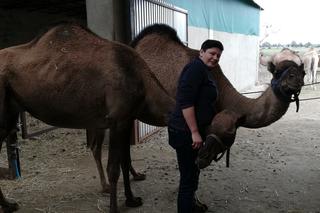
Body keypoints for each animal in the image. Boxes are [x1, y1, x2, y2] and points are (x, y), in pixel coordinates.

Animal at [0, 22, 178, 213]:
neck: (143, 84)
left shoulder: (127, 119)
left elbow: (124, 161)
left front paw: (132, 199)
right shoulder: (118, 119)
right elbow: (114, 167)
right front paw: (114, 208)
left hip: (11, 112)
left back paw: (9, 204)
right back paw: (8, 204)